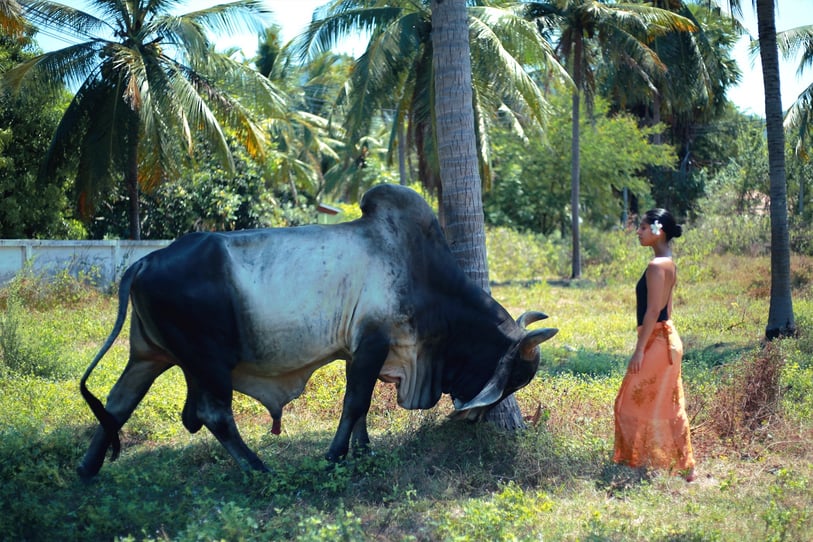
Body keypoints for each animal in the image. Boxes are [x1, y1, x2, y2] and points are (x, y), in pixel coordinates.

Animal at [77, 184, 560, 480]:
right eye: (516, 377)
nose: (474, 420)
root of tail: (143, 262)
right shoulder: (372, 343)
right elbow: (356, 403)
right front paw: (334, 457)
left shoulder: (366, 351)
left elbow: (363, 407)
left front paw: (363, 452)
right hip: (207, 360)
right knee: (214, 415)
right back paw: (259, 470)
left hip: (149, 354)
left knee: (117, 403)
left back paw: (86, 471)